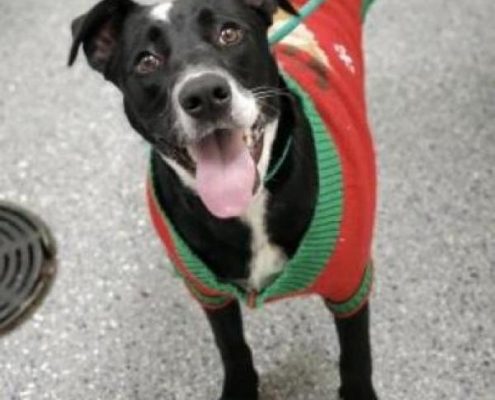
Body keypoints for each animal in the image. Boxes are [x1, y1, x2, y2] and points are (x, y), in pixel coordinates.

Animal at [69, 1, 380, 398]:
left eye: (228, 33)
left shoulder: (349, 285)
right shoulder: (208, 292)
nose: (203, 94)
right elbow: (231, 346)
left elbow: (356, 356)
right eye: (147, 60)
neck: (248, 207)